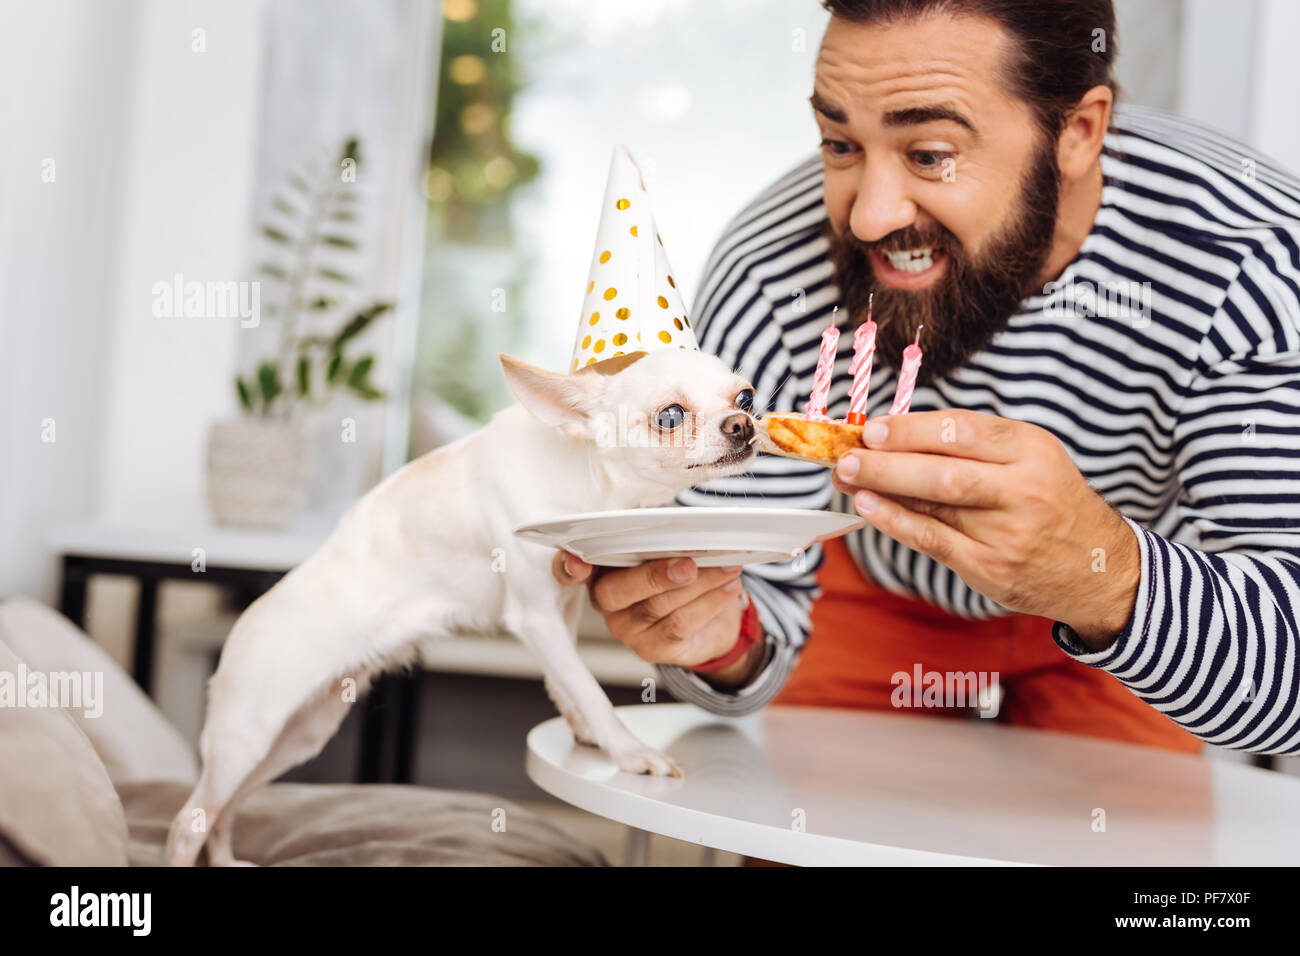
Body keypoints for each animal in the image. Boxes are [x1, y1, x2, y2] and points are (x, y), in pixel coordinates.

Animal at [167, 348, 759, 868]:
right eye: (669, 416)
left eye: (746, 396)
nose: (743, 424)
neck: (587, 477)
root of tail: (242, 626)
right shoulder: (535, 614)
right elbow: (587, 686)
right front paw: (630, 751)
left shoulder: (561, 603)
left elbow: (564, 677)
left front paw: (582, 727)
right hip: (246, 738)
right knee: (188, 823)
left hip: (296, 737)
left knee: (222, 813)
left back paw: (226, 861)